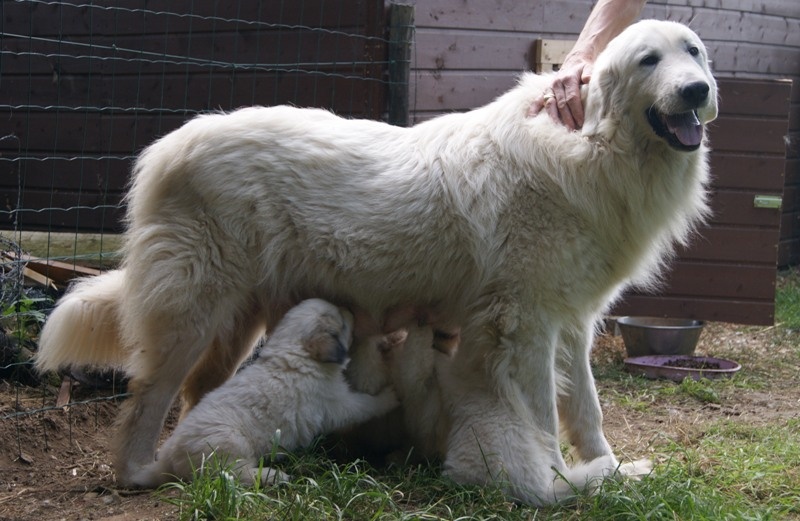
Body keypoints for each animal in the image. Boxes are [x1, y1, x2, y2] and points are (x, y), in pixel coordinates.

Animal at [130, 298, 400, 486]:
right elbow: (366, 405)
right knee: (231, 475)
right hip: (229, 446)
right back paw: (273, 475)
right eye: (342, 322)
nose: (351, 310)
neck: (294, 354)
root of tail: (167, 458)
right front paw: (391, 396)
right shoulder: (338, 403)